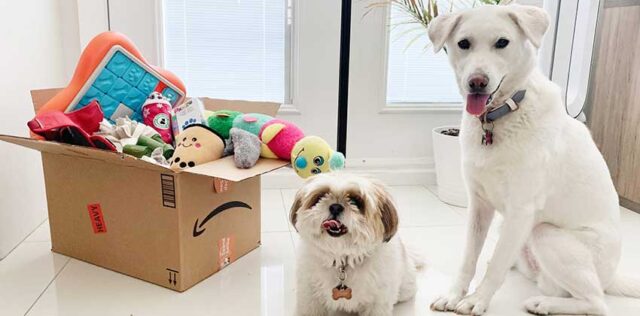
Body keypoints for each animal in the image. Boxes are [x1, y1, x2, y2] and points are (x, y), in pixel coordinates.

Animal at [288, 173, 420, 316]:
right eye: (320, 196)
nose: (335, 206)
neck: (342, 260)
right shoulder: (310, 296)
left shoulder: (377, 301)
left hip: (405, 288)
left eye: (356, 201)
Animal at [428, 3, 636, 316]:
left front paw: (477, 300)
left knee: (596, 302)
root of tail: (611, 276)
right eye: (464, 43)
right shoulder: (479, 205)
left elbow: (496, 266)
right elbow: (469, 259)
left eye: (502, 42)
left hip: (544, 233)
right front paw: (455, 294)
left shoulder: (521, 211)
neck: (499, 118)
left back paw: (543, 303)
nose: (477, 82)